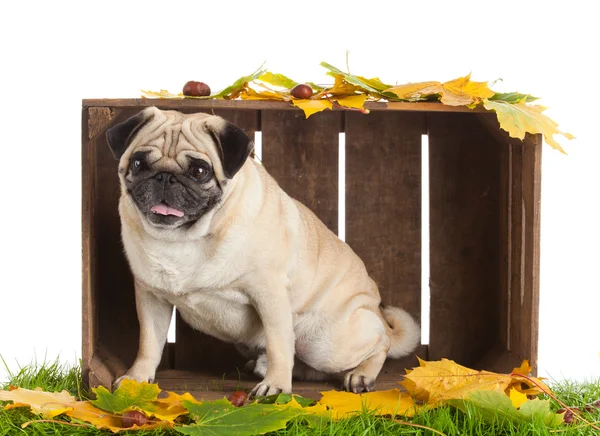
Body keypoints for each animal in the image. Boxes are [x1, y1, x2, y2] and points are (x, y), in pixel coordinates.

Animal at [106, 106, 418, 396]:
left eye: (199, 171)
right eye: (138, 163)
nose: (164, 177)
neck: (184, 238)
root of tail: (375, 309)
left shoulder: (269, 293)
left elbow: (279, 343)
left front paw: (276, 385)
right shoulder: (150, 297)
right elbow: (149, 343)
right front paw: (136, 378)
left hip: (325, 343)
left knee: (379, 344)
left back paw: (361, 374)